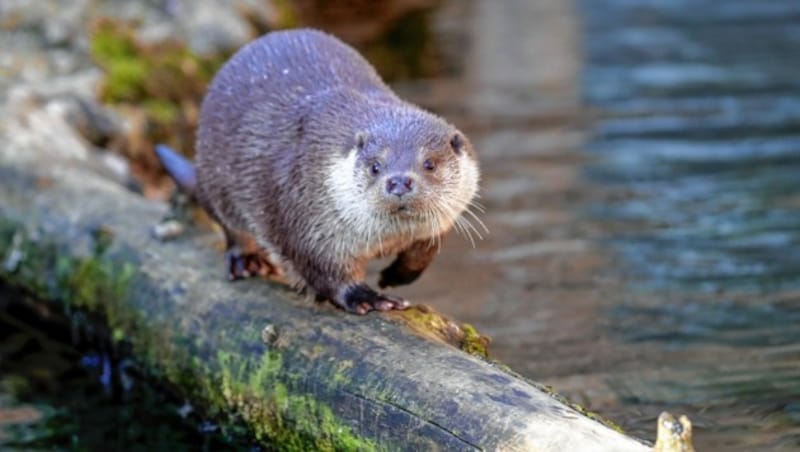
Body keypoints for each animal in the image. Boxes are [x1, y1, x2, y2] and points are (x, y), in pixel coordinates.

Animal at [156, 29, 482, 314]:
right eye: (375, 166)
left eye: (429, 163)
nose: (399, 181)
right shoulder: (303, 212)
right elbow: (322, 268)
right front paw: (366, 297)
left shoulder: (441, 220)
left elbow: (425, 251)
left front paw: (394, 276)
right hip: (216, 178)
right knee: (229, 225)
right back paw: (247, 260)